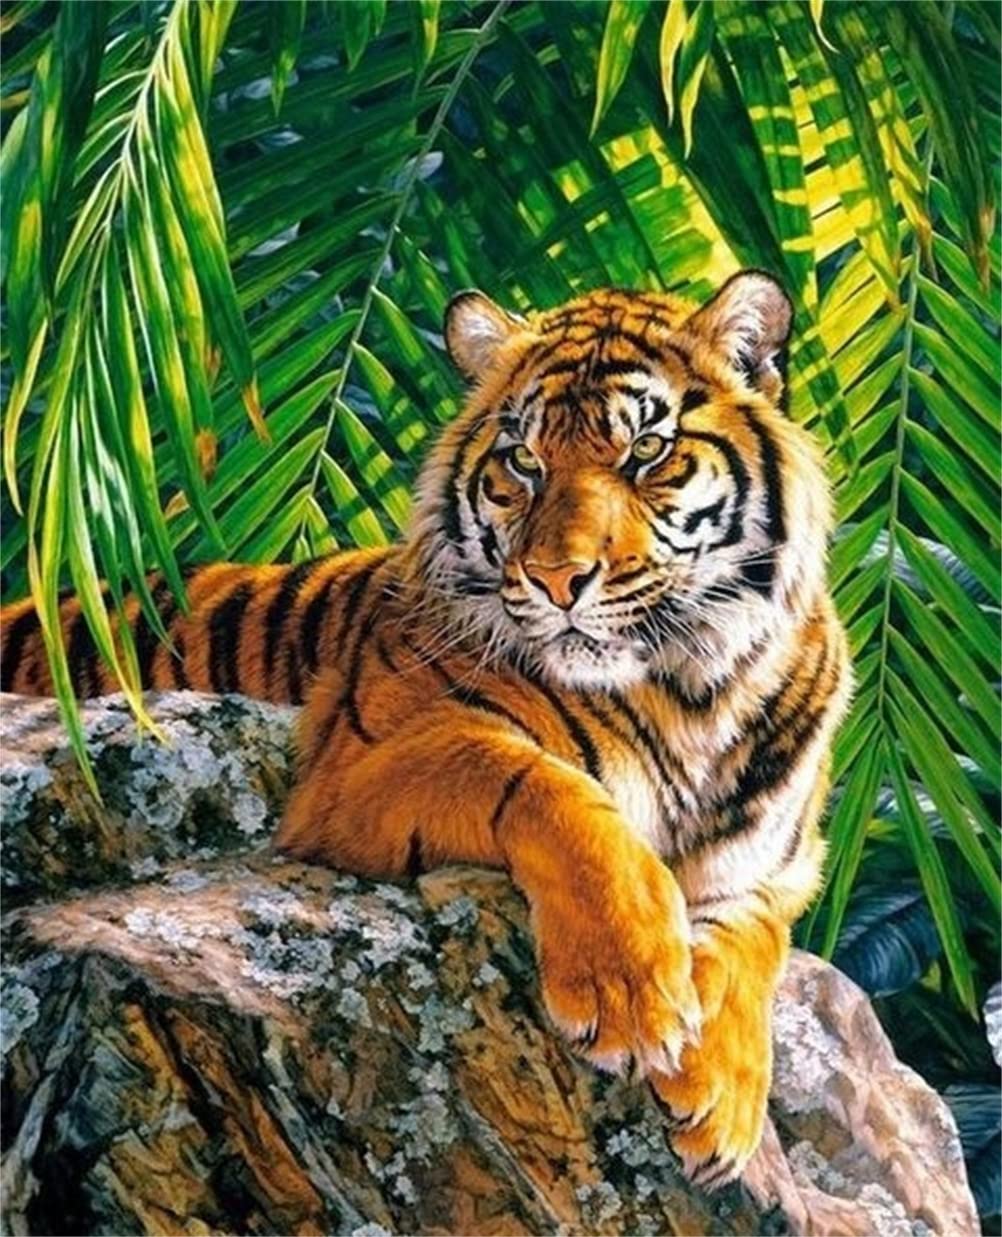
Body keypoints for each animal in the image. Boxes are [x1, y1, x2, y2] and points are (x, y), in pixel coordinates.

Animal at [0, 273, 851, 1187]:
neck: (690, 686)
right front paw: (630, 993)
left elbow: (751, 939)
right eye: (524, 461)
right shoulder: (357, 767)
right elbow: (556, 792)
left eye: (647, 452)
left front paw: (721, 1099)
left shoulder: (777, 865)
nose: (557, 580)